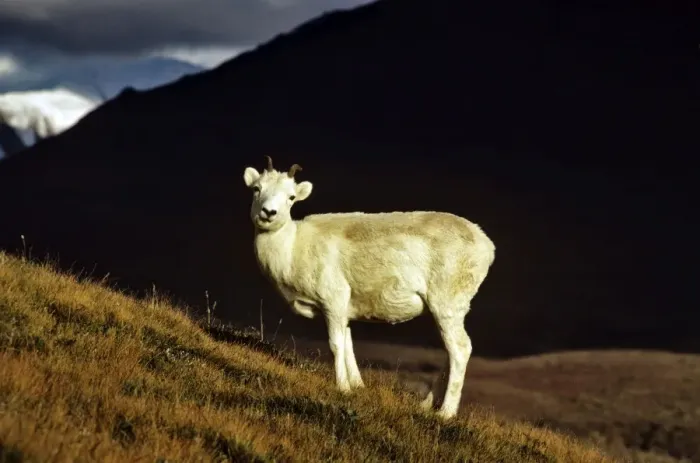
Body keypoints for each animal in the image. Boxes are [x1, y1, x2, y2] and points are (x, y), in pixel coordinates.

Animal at [242, 156, 496, 420]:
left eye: (291, 197)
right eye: (257, 188)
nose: (268, 213)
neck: (292, 248)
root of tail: (487, 246)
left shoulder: (333, 302)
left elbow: (335, 345)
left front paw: (342, 388)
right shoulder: (343, 311)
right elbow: (348, 345)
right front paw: (357, 386)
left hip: (446, 306)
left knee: (460, 349)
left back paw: (445, 414)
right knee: (450, 351)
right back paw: (425, 405)